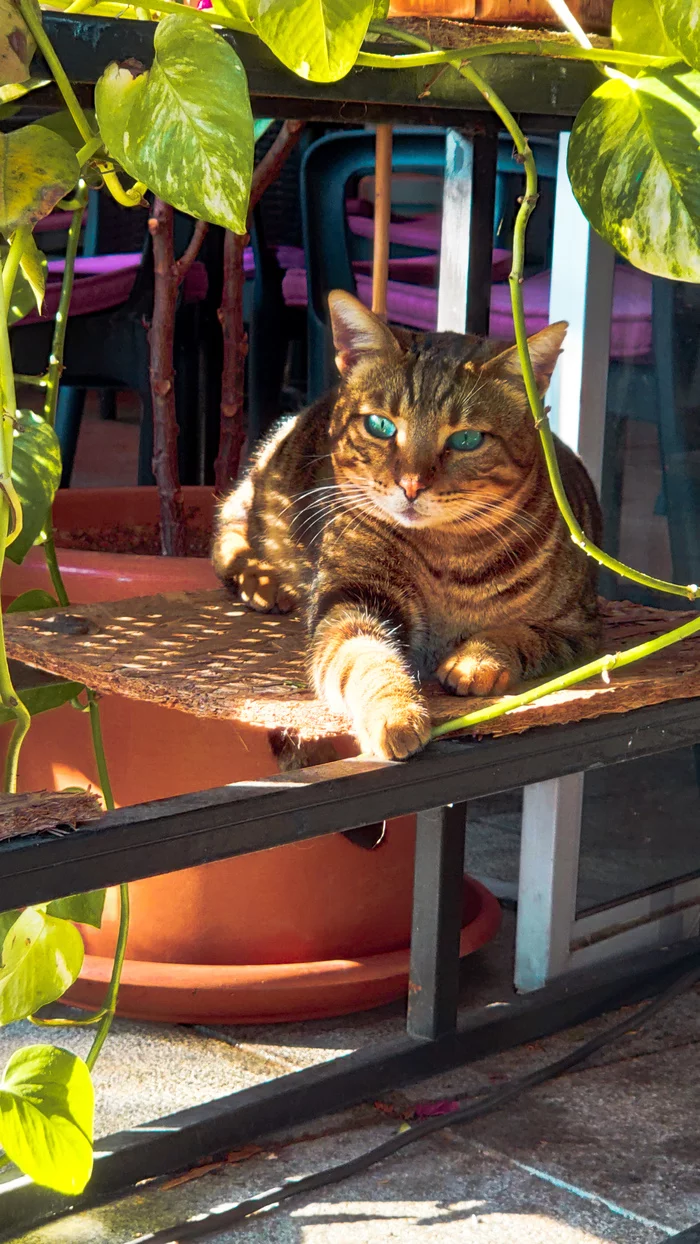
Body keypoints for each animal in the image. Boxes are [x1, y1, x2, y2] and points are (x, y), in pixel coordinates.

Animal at [213, 291, 601, 756]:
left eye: (467, 439)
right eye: (380, 425)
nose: (411, 484)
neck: (451, 560)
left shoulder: (579, 627)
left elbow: (520, 633)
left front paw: (478, 659)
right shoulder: (351, 600)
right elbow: (365, 658)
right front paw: (395, 712)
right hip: (264, 492)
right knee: (227, 532)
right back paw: (263, 581)